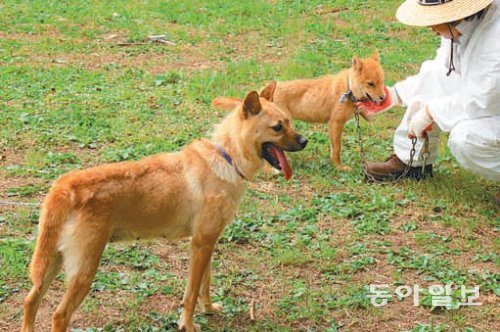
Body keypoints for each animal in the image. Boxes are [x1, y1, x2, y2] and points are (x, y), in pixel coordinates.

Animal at [21, 83, 306, 332]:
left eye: (289, 121)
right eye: (277, 127)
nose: (305, 141)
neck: (226, 158)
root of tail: (66, 186)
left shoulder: (207, 241)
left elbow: (204, 284)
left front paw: (209, 309)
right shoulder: (201, 244)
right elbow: (191, 294)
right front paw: (188, 325)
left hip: (51, 262)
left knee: (30, 300)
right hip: (83, 271)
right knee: (59, 316)